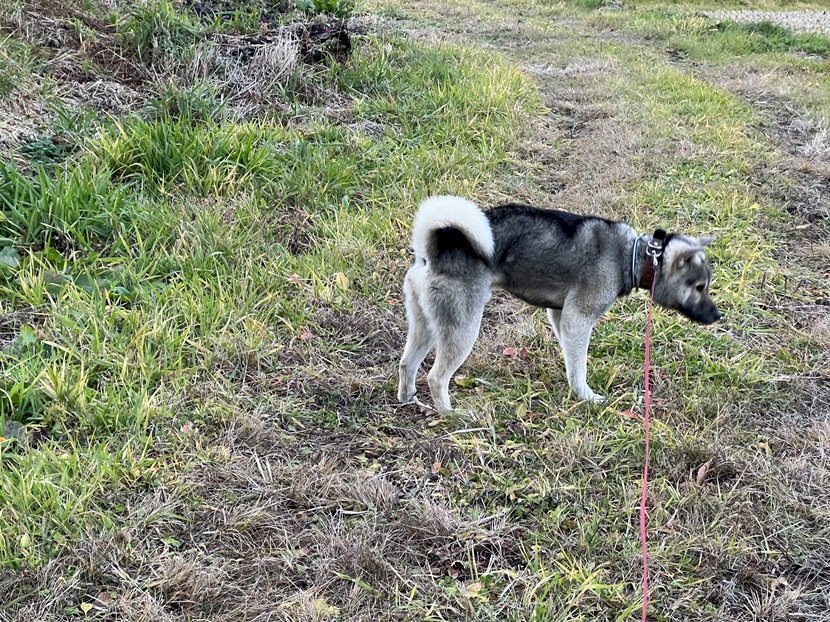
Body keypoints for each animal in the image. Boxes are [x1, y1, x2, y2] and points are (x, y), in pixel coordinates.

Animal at [398, 197, 720, 414]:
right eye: (699, 287)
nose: (717, 315)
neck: (633, 255)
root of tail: (432, 252)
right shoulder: (578, 318)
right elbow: (579, 366)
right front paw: (586, 396)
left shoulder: (560, 314)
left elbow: (571, 357)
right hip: (462, 329)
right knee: (436, 377)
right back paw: (451, 415)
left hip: (425, 325)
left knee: (406, 363)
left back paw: (407, 398)